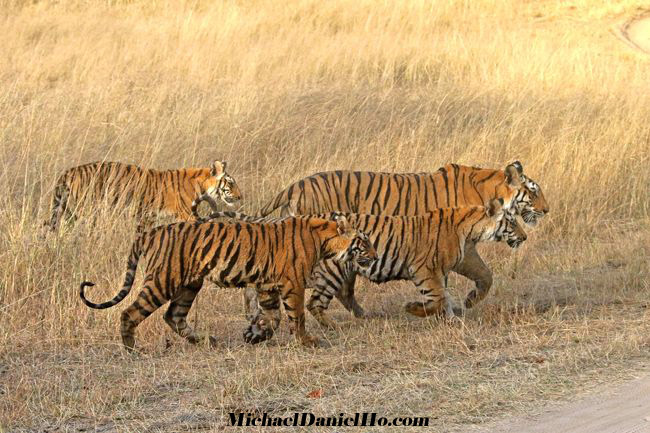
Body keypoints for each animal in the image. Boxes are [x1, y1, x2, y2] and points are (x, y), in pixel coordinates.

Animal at [45, 159, 240, 233]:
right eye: (230, 183)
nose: (240, 197)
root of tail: (67, 172)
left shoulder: (147, 217)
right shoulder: (188, 214)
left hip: (65, 210)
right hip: (86, 210)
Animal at [78, 214, 374, 350]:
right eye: (364, 242)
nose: (375, 256)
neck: (324, 239)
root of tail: (150, 232)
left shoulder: (267, 285)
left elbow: (273, 317)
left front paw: (255, 335)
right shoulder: (292, 284)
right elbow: (296, 315)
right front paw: (306, 340)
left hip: (189, 284)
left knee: (173, 316)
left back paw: (205, 340)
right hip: (163, 280)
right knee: (130, 312)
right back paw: (132, 348)